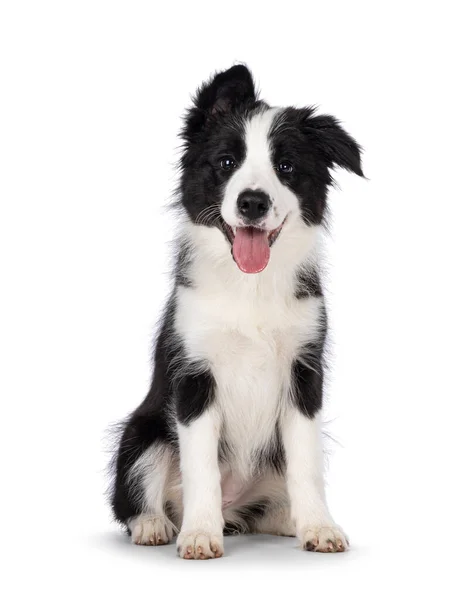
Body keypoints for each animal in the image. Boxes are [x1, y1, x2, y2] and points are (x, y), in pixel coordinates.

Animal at [110, 64, 364, 556]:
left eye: (286, 167)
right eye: (227, 162)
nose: (252, 202)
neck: (251, 286)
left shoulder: (305, 372)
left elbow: (306, 463)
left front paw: (319, 527)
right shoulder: (194, 374)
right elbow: (201, 466)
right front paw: (198, 534)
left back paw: (285, 520)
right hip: (143, 433)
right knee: (134, 495)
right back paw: (156, 525)